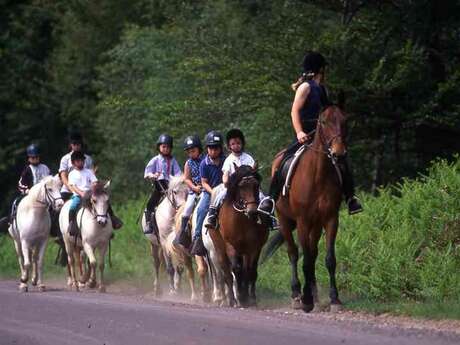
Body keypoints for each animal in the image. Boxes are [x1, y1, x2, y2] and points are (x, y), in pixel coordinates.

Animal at [209, 165, 270, 306]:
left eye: (256, 185)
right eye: (241, 186)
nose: (252, 211)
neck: (243, 220)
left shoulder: (254, 247)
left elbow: (251, 270)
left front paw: (250, 298)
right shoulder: (230, 245)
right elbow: (236, 270)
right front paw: (240, 298)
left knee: (245, 269)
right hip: (219, 249)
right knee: (227, 273)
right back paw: (231, 299)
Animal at [270, 105, 348, 312]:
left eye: (344, 120)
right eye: (324, 122)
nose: (338, 153)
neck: (318, 174)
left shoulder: (330, 219)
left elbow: (329, 259)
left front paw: (334, 299)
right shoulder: (302, 221)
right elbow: (303, 259)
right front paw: (305, 300)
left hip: (316, 225)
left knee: (312, 253)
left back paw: (314, 294)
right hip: (285, 220)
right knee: (294, 253)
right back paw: (297, 294)